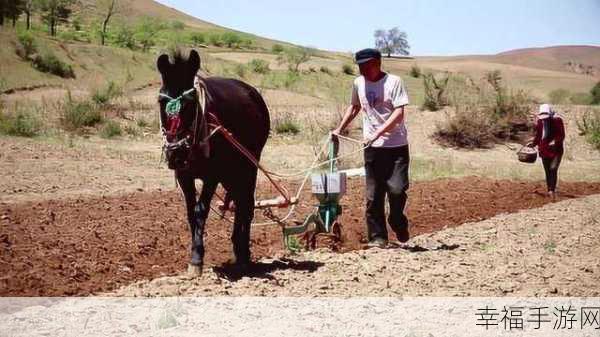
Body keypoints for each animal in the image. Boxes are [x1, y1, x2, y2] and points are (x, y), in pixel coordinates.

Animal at [159, 49, 272, 270]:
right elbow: (191, 213)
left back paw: (244, 253)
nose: (176, 153)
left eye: (190, 103)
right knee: (239, 201)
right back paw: (238, 247)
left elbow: (201, 211)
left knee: (246, 204)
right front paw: (194, 254)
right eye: (161, 102)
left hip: (249, 165)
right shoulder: (184, 175)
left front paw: (197, 258)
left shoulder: (212, 176)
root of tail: (253, 93)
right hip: (232, 172)